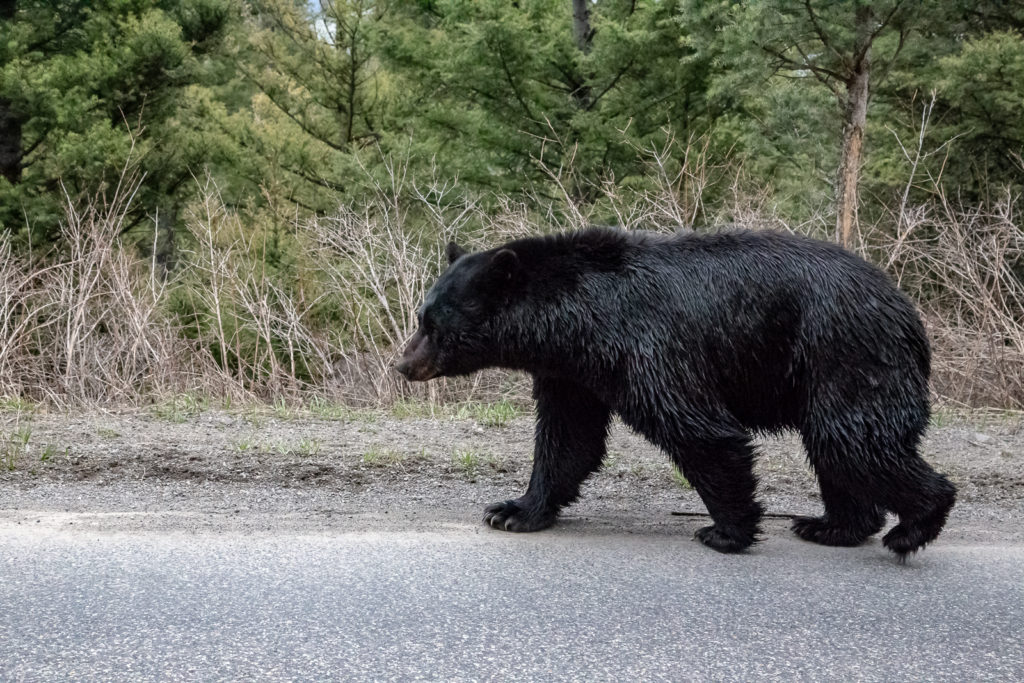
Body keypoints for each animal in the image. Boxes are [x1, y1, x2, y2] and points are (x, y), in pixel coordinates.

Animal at [395, 227, 954, 557]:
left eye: (433, 324)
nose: (403, 363)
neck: (577, 323)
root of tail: (907, 311)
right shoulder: (573, 373)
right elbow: (567, 439)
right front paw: (512, 510)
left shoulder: (648, 345)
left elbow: (698, 429)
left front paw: (725, 530)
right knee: (840, 447)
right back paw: (831, 526)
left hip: (845, 354)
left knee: (855, 442)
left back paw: (913, 527)